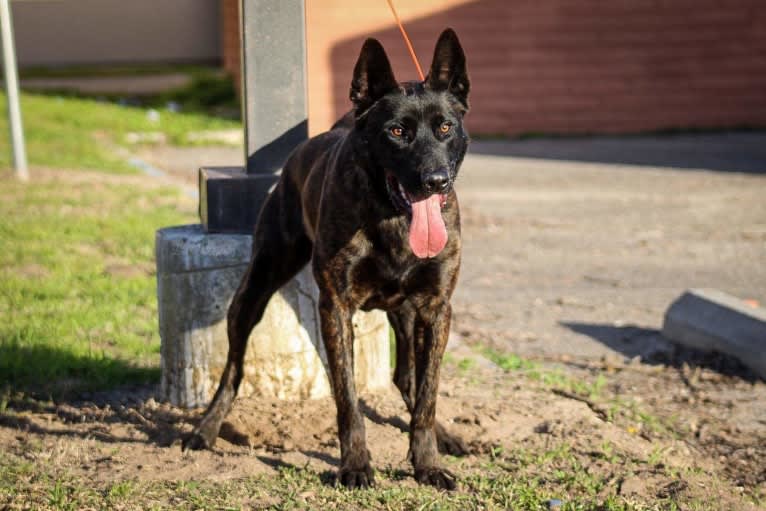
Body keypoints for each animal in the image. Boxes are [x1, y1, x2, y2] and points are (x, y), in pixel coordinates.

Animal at [184, 29, 474, 492]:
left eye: (445, 127)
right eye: (397, 131)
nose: (435, 181)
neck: (392, 218)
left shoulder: (435, 309)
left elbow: (428, 394)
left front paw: (427, 464)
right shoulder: (336, 307)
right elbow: (348, 399)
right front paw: (354, 465)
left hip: (406, 312)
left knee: (408, 379)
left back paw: (444, 435)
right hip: (254, 290)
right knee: (233, 368)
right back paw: (206, 428)